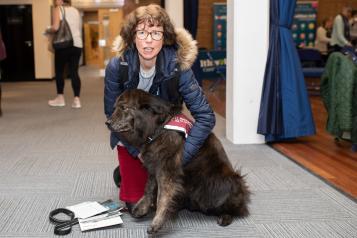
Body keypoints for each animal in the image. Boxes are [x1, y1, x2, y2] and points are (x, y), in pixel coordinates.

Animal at [106, 89, 250, 234]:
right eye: (115, 107)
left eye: (124, 107)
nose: (107, 122)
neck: (160, 127)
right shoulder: (153, 166)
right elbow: (148, 188)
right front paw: (142, 207)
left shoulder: (167, 171)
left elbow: (162, 197)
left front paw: (157, 222)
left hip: (221, 186)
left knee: (237, 210)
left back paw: (225, 217)